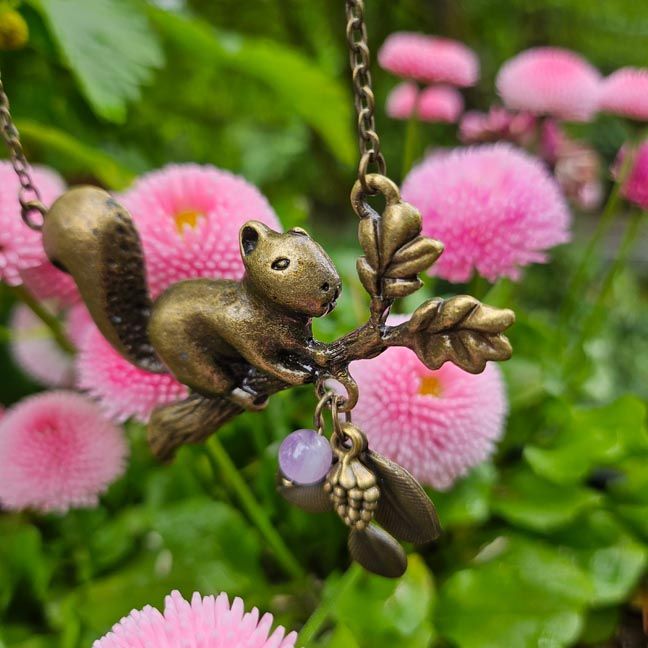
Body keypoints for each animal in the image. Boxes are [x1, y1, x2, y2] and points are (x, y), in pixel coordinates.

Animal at [42, 186, 342, 411]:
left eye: (316, 245)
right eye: (280, 264)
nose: (333, 287)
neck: (276, 312)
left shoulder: (295, 335)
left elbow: (305, 347)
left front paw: (321, 353)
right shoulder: (242, 334)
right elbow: (268, 363)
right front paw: (297, 374)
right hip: (193, 361)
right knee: (221, 386)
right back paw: (246, 396)